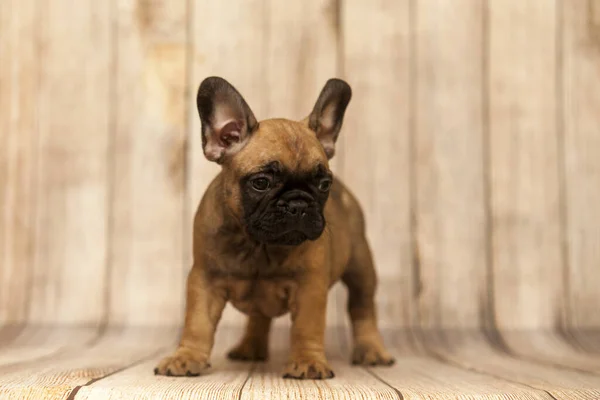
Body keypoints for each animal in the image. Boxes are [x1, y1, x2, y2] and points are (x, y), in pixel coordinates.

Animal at [155, 76, 394, 380]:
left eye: (323, 184)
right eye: (261, 182)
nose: (298, 204)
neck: (258, 244)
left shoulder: (309, 287)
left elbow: (306, 327)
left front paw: (307, 361)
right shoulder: (204, 280)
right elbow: (197, 324)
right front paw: (186, 357)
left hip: (360, 265)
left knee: (362, 307)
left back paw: (372, 350)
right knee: (260, 316)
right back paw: (249, 347)